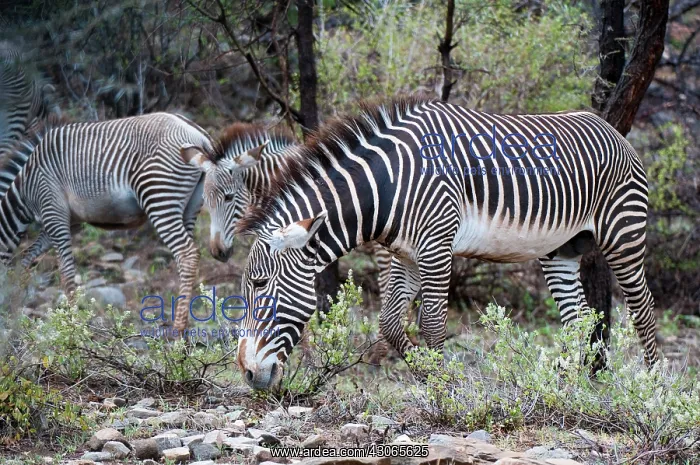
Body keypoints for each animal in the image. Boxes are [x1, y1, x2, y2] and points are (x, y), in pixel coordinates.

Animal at [0, 113, 216, 333]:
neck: (25, 188)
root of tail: (199, 134)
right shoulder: (68, 221)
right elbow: (27, 257)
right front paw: (15, 291)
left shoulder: (53, 210)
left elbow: (66, 272)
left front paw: (73, 325)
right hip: (190, 205)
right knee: (187, 256)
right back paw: (185, 331)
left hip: (159, 196)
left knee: (187, 253)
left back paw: (177, 330)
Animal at [231, 95, 658, 390]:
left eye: (259, 284)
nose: (247, 373)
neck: (386, 187)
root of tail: (612, 130)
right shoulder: (404, 253)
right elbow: (390, 323)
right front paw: (425, 374)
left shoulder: (436, 243)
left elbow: (433, 324)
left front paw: (444, 392)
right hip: (560, 250)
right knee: (580, 318)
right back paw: (571, 387)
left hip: (623, 233)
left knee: (643, 308)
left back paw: (652, 389)